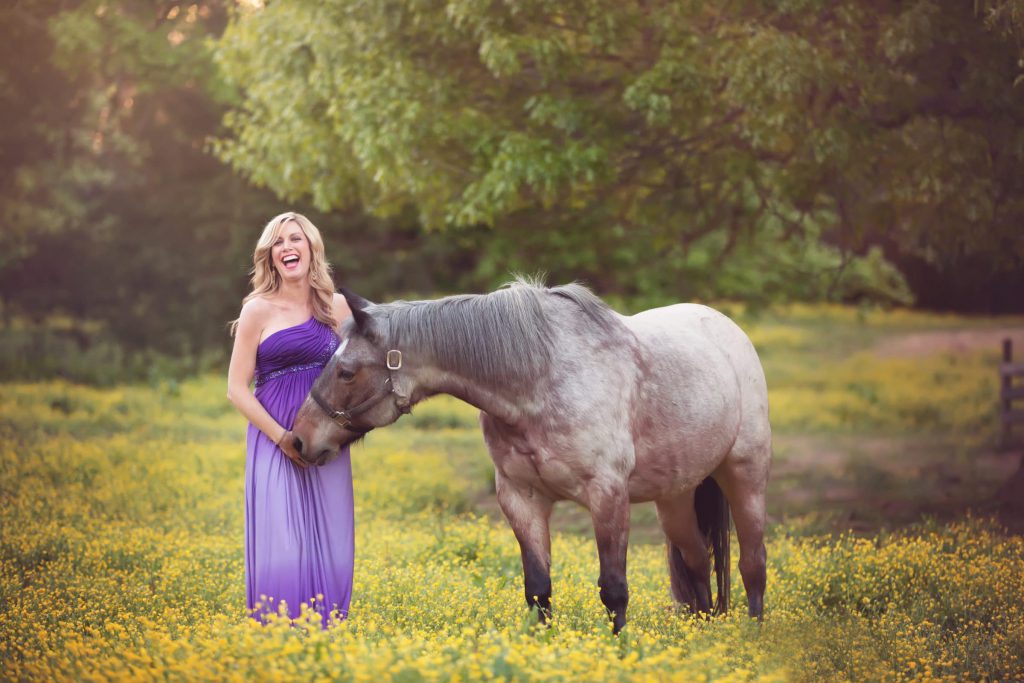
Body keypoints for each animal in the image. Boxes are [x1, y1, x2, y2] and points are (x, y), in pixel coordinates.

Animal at [289, 279, 771, 633]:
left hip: (744, 475)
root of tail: (728, 331)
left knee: (752, 563)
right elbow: (538, 589)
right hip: (675, 497)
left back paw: (753, 634)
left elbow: (614, 588)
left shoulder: (608, 496)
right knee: (698, 562)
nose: (300, 440)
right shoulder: (521, 498)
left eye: (346, 371)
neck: (540, 379)